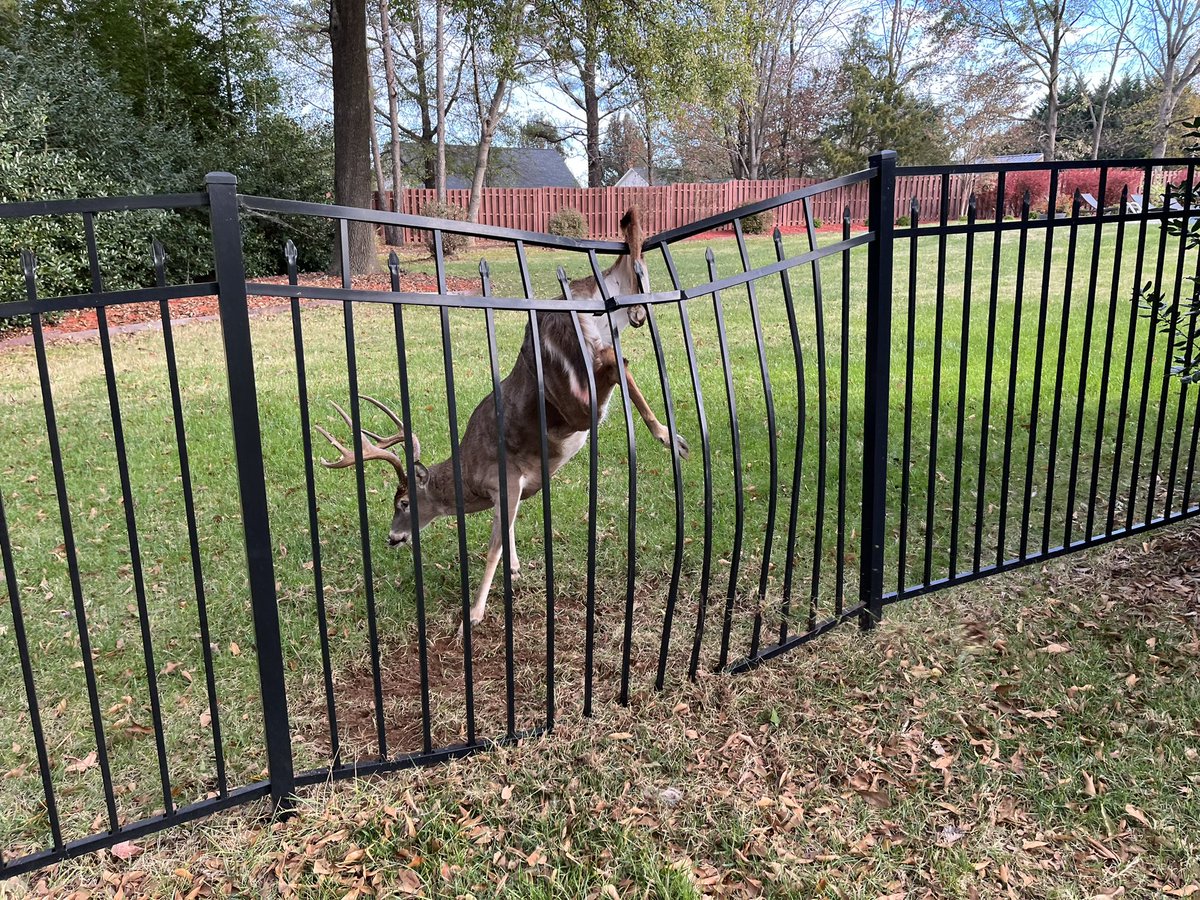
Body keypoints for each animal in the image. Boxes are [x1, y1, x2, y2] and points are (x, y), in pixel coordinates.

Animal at [316, 208, 688, 635]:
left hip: (570, 390)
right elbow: (508, 534)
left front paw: (474, 613)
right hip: (611, 319)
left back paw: (668, 436)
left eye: (403, 502)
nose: (393, 537)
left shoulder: (505, 479)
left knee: (614, 364)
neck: (471, 478)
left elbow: (491, 548)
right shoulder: (511, 492)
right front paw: (514, 568)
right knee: (629, 290)